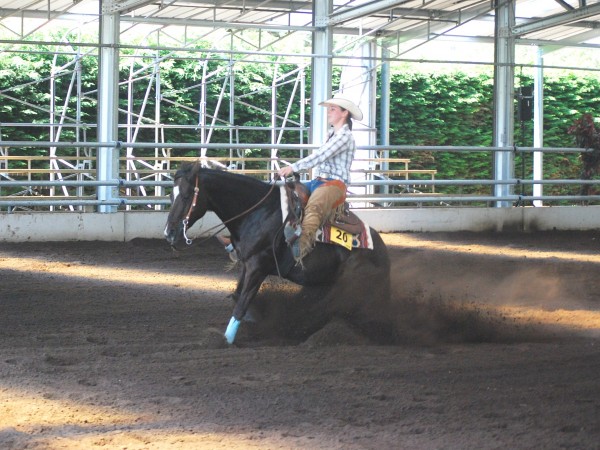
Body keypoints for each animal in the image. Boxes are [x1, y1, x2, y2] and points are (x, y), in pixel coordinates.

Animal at [164, 163, 392, 344]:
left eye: (186, 196)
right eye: (171, 195)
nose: (169, 232)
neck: (258, 211)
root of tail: (382, 251)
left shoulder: (258, 267)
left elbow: (241, 305)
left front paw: (225, 340)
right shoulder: (247, 264)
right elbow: (237, 295)